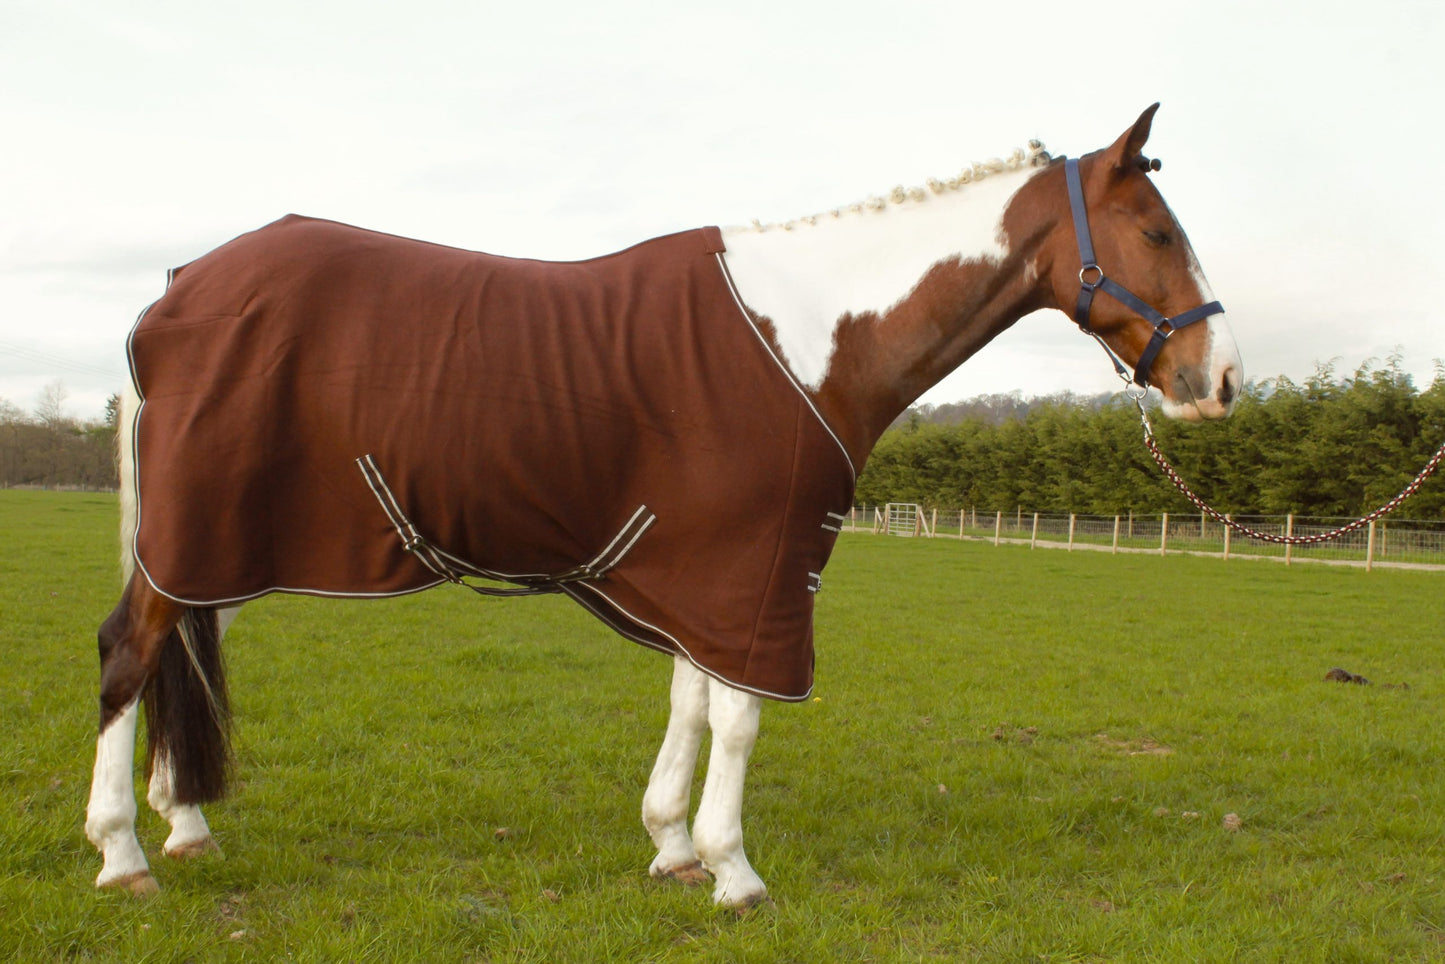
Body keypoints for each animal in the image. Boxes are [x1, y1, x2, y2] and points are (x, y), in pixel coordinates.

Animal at [85, 104, 1242, 908]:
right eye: (1154, 229)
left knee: (180, 649)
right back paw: (126, 853)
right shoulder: (757, 568)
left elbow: (692, 703)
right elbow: (736, 718)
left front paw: (674, 847)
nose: (1219, 379)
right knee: (131, 653)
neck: (812, 335)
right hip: (198, 539)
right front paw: (734, 871)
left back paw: (183, 821)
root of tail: (177, 290)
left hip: (221, 548)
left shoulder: (710, 573)